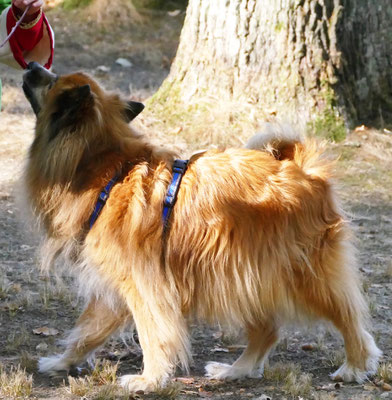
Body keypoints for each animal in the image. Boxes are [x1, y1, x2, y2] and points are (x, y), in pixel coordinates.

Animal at [20, 61, 380, 390]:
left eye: (53, 81)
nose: (33, 64)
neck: (105, 168)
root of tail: (304, 169)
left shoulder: (143, 284)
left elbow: (152, 333)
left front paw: (149, 379)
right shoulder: (117, 286)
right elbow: (88, 331)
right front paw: (63, 362)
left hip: (301, 274)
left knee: (348, 317)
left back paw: (355, 365)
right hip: (245, 275)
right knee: (267, 330)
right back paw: (235, 370)